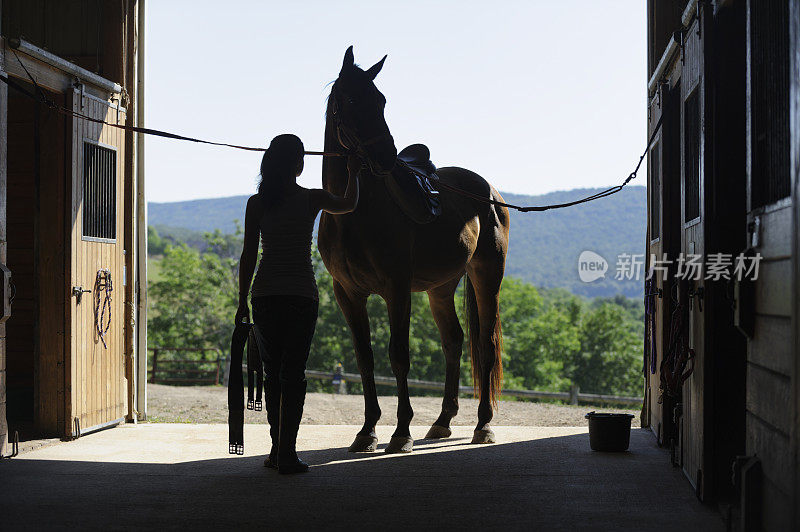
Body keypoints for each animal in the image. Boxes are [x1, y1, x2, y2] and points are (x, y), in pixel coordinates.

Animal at [316, 46, 510, 454]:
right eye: (351, 100)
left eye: (381, 101)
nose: (386, 157)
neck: (352, 210)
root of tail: (490, 192)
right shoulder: (348, 293)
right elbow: (365, 357)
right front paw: (367, 431)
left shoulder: (397, 288)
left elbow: (399, 355)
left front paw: (400, 431)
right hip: (441, 287)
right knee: (454, 341)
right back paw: (442, 422)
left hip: (488, 275)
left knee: (485, 344)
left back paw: (483, 425)